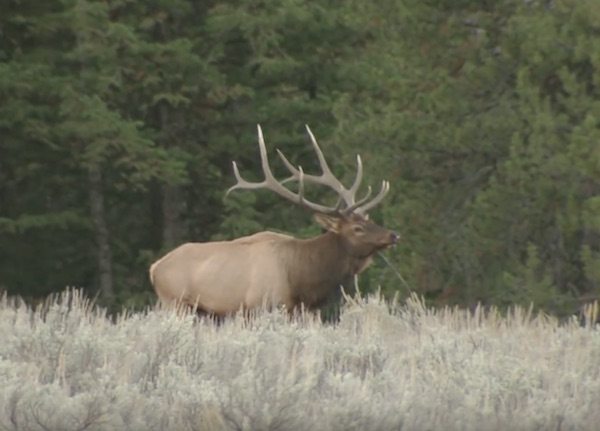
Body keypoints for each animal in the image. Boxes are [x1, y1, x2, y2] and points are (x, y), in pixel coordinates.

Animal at [149, 125, 398, 318]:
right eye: (358, 228)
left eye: (370, 220)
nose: (393, 235)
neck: (303, 281)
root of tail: (154, 268)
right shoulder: (261, 305)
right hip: (174, 302)